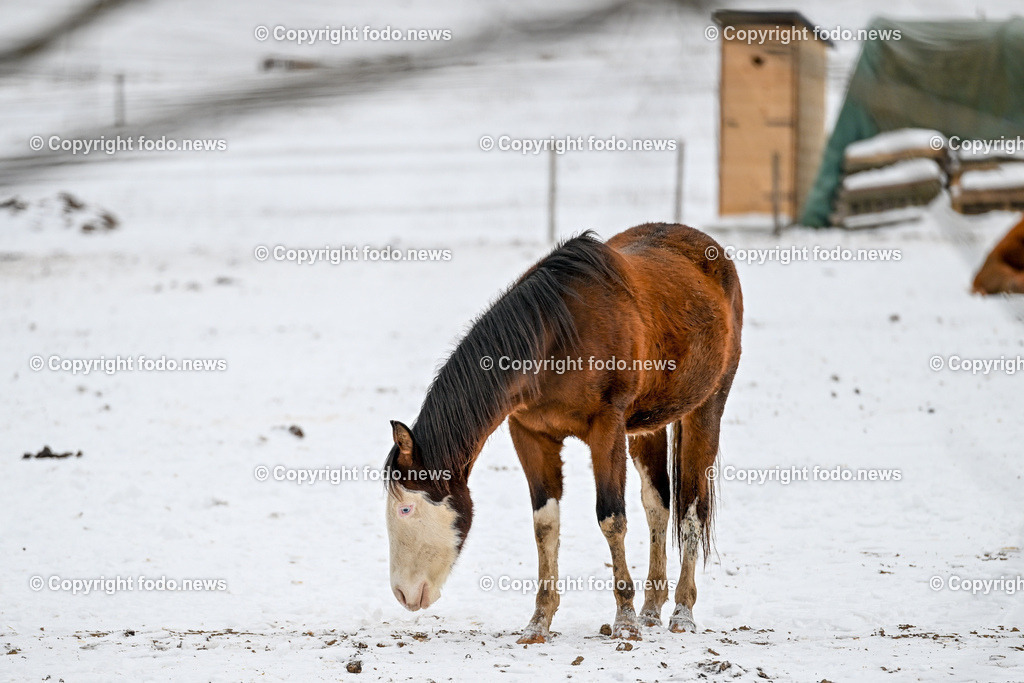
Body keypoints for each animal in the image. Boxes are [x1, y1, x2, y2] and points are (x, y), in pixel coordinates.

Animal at [383, 222, 742, 643]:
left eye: (406, 508)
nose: (403, 594)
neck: (553, 340)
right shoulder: (529, 433)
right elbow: (545, 524)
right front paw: (539, 621)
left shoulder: (607, 428)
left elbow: (611, 518)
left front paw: (624, 621)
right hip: (646, 428)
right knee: (658, 506)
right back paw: (652, 610)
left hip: (707, 409)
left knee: (692, 510)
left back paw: (682, 612)